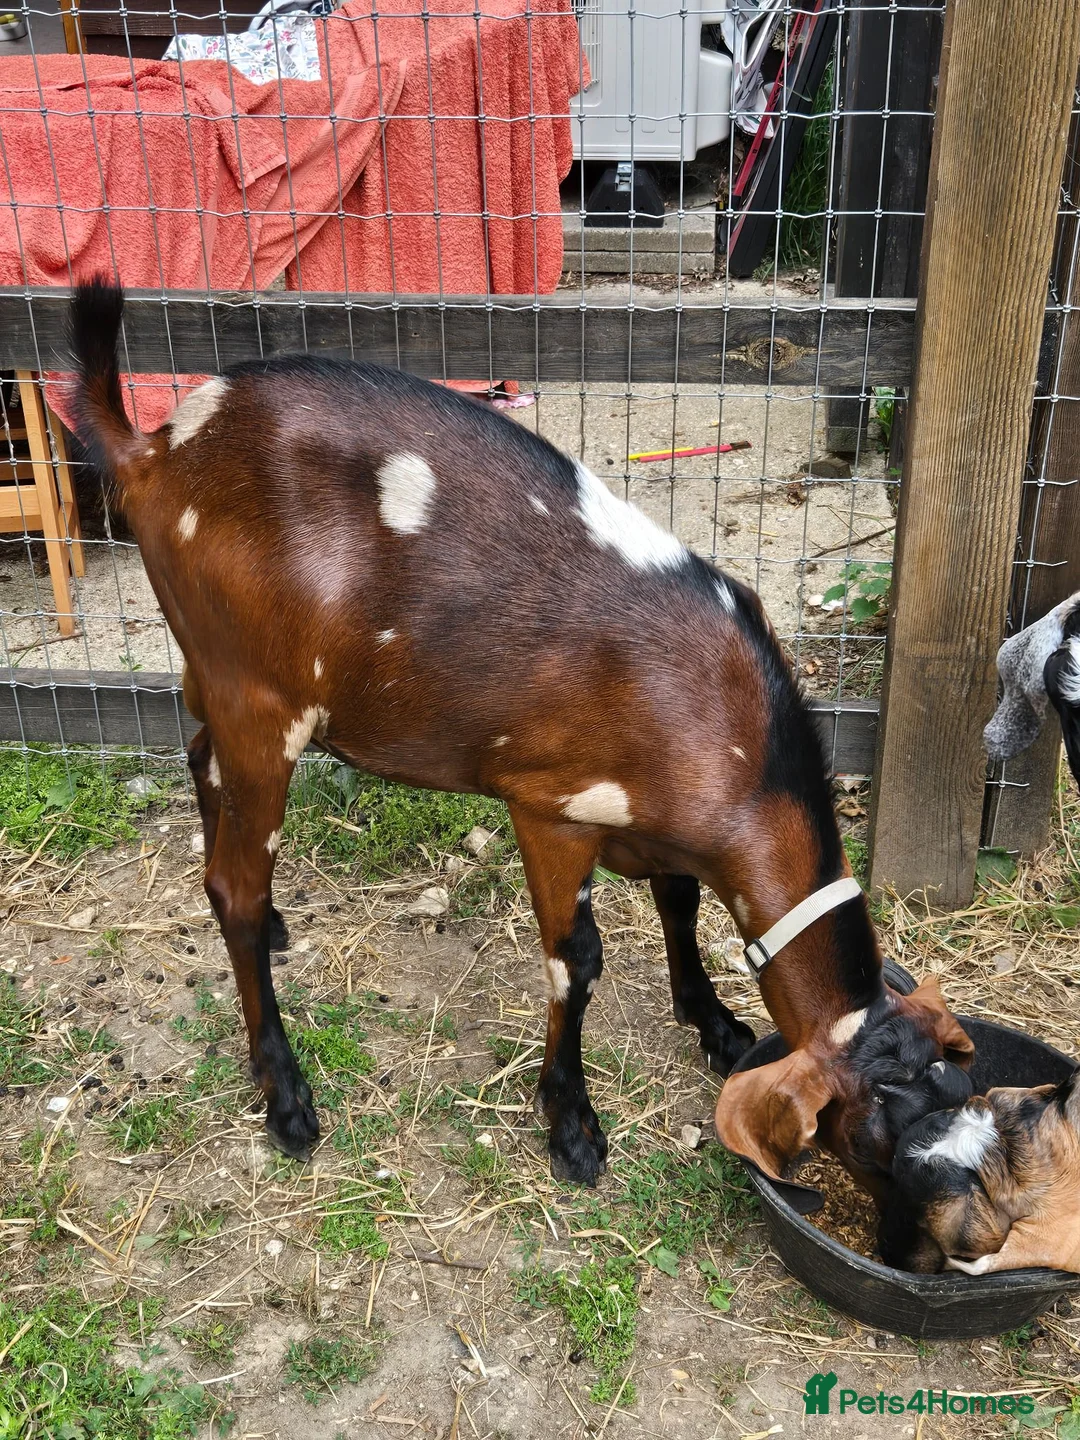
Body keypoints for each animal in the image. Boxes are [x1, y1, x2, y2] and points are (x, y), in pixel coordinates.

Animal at [70, 279, 972, 1190]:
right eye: (887, 1145)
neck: (727, 729)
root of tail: (153, 451)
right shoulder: (552, 808)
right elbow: (577, 959)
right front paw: (572, 1124)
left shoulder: (656, 821)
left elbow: (678, 900)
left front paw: (714, 1022)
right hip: (259, 699)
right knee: (234, 889)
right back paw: (286, 1096)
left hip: (212, 675)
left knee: (200, 763)